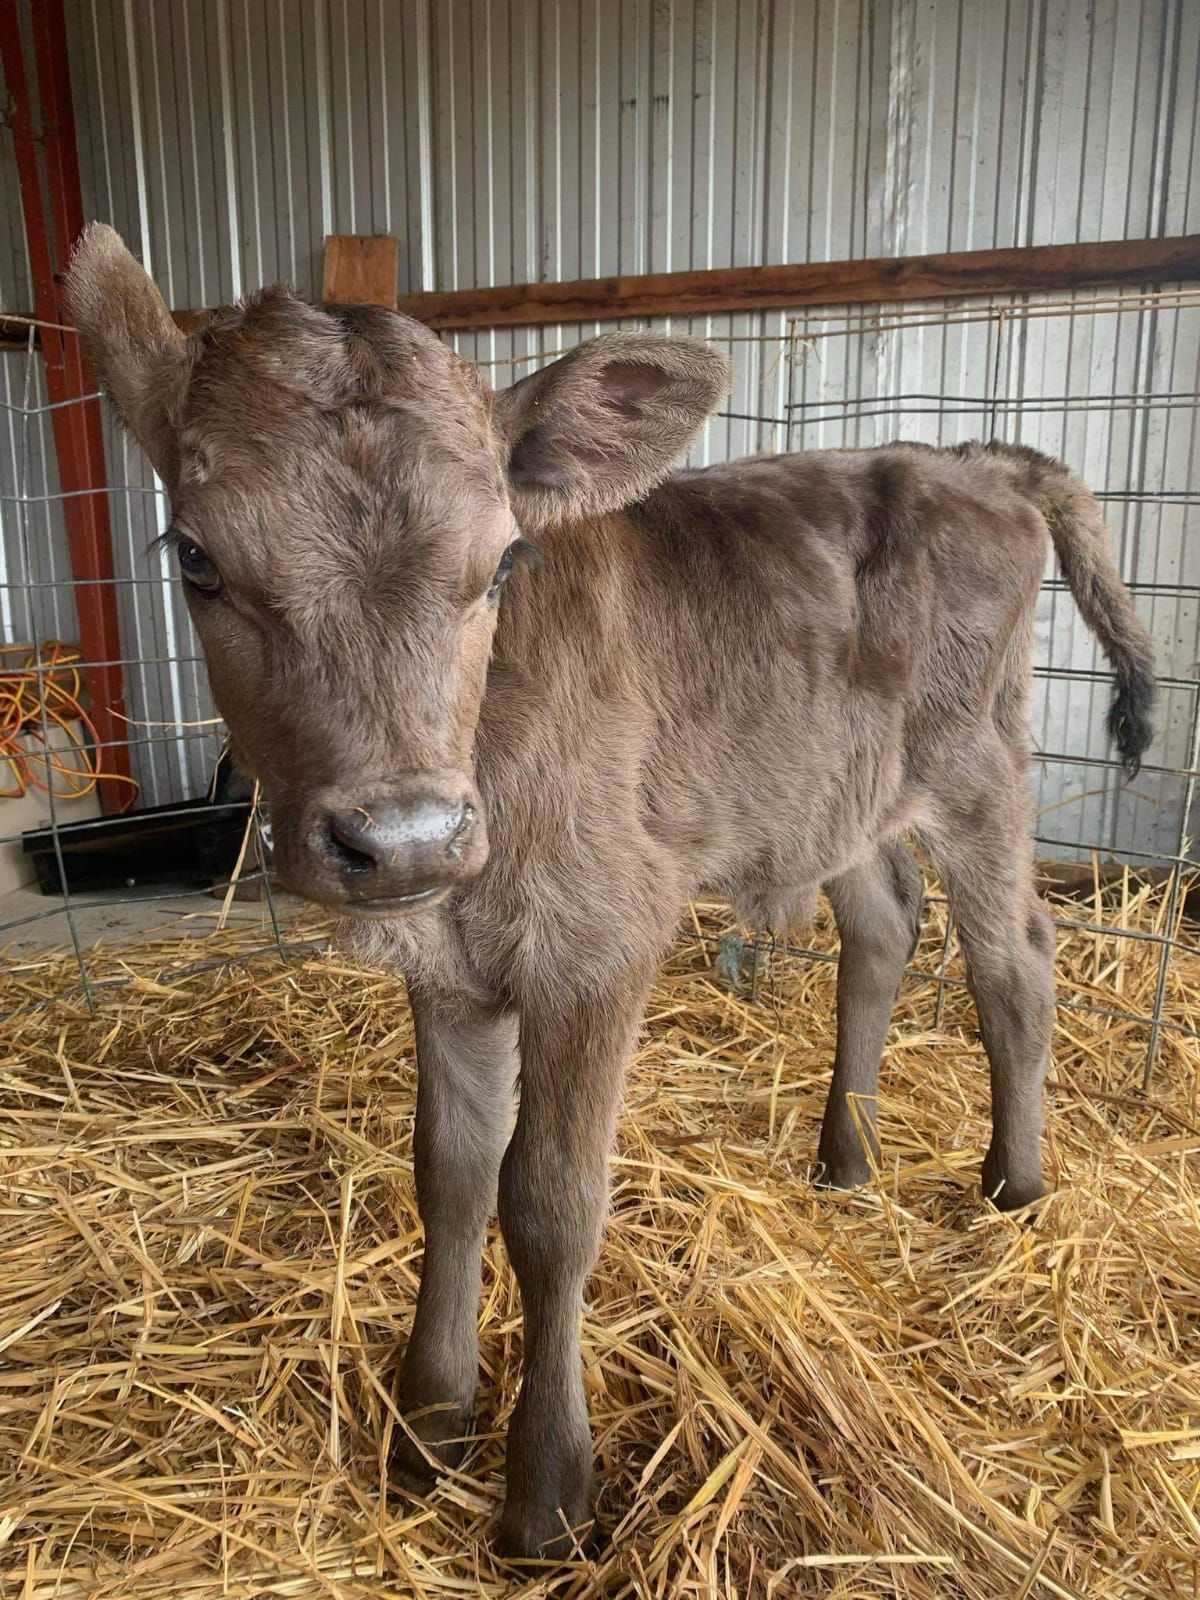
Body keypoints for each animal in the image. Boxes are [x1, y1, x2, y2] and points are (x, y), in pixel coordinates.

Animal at [65, 224, 1155, 1560]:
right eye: (198, 559)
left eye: (503, 559)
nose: (405, 837)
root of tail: (964, 456)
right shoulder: (450, 965)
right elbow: (450, 1175)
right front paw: (428, 1428)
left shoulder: (598, 943)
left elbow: (550, 1203)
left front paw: (546, 1492)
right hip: (837, 783)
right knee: (884, 923)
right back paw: (844, 1156)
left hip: (981, 764)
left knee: (1016, 963)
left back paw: (1013, 1185)